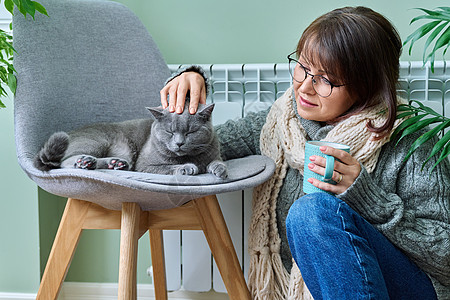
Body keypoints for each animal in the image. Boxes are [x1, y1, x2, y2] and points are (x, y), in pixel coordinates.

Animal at [34, 103, 229, 178]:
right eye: (170, 131)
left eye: (191, 132)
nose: (180, 143)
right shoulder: (145, 165)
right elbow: (167, 167)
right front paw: (187, 167)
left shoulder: (214, 153)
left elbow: (217, 161)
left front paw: (219, 169)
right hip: (96, 141)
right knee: (64, 162)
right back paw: (86, 162)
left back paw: (115, 164)